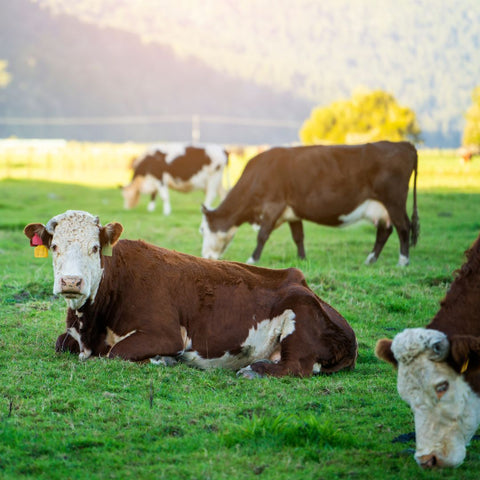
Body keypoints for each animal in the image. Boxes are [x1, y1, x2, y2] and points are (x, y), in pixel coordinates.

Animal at [24, 210, 358, 378]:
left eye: (94, 248)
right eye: (55, 246)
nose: (71, 281)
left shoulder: (165, 333)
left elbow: (115, 353)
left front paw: (163, 361)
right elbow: (60, 343)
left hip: (299, 314)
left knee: (296, 367)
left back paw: (254, 370)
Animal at [201, 141, 418, 266]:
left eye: (203, 230)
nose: (205, 257)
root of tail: (404, 144)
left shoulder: (273, 205)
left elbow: (262, 235)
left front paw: (253, 259)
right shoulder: (292, 212)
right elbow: (298, 237)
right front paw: (302, 259)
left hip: (394, 201)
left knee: (403, 227)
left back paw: (403, 261)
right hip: (382, 208)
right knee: (385, 231)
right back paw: (371, 260)